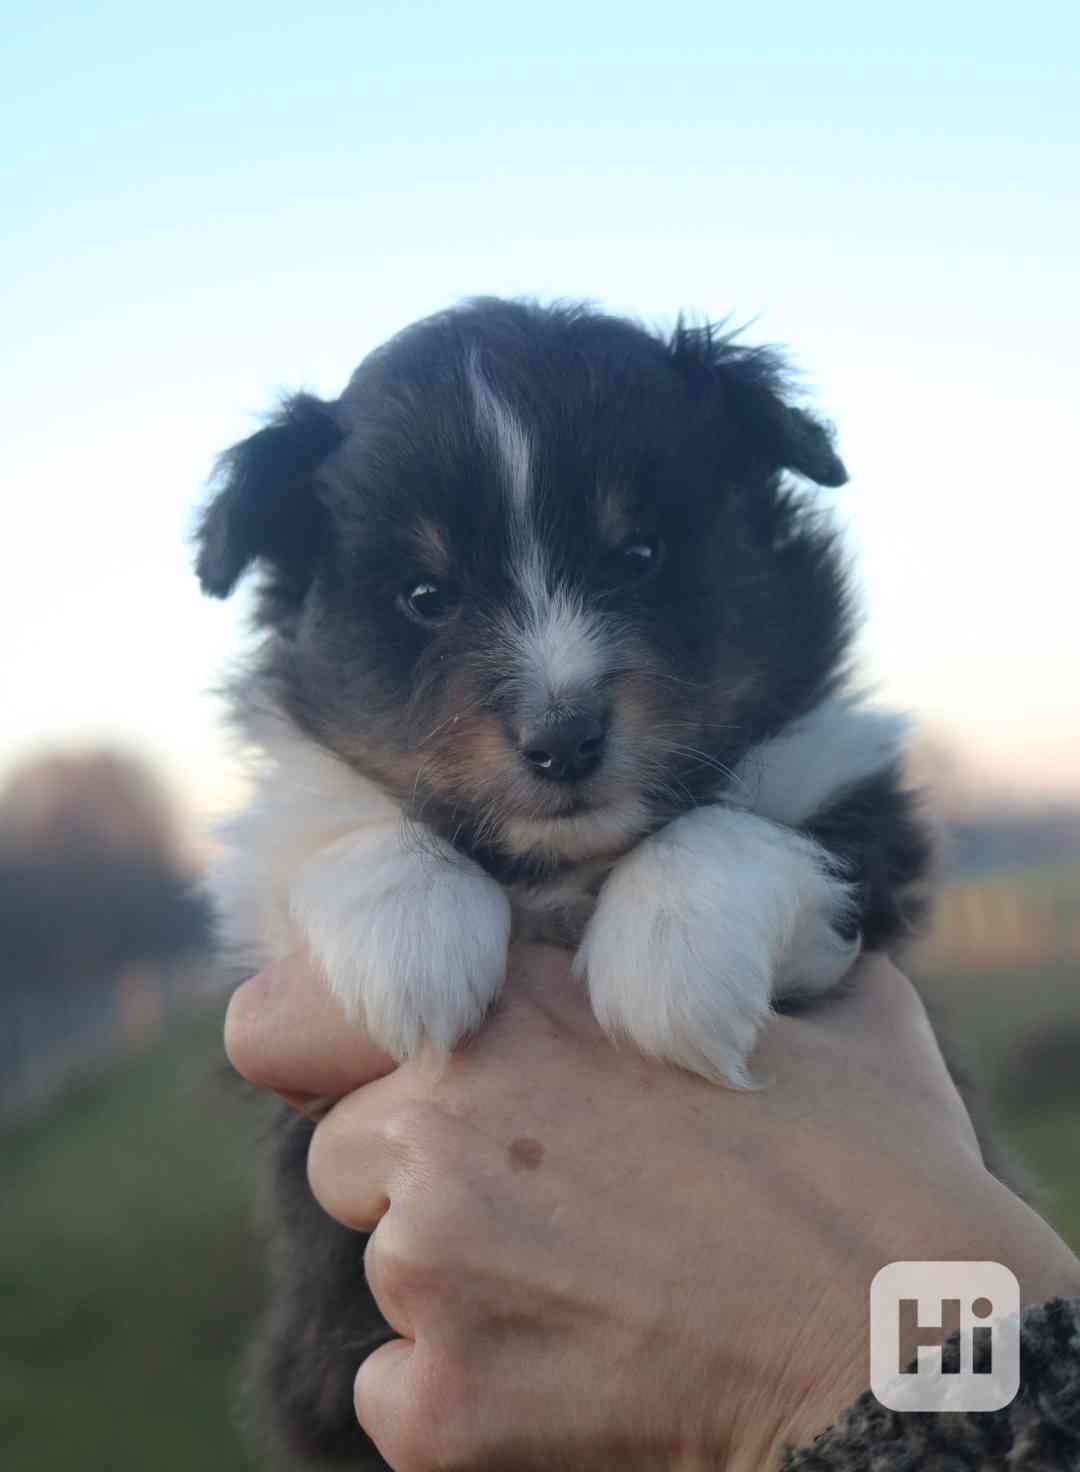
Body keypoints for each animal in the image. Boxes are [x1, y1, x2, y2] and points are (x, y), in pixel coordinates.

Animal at [198, 295, 935, 1460]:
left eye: (638, 553)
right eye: (425, 594)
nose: (565, 739)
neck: (559, 865)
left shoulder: (855, 803)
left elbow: (738, 822)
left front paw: (674, 960)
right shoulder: (270, 874)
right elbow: (337, 818)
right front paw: (413, 943)